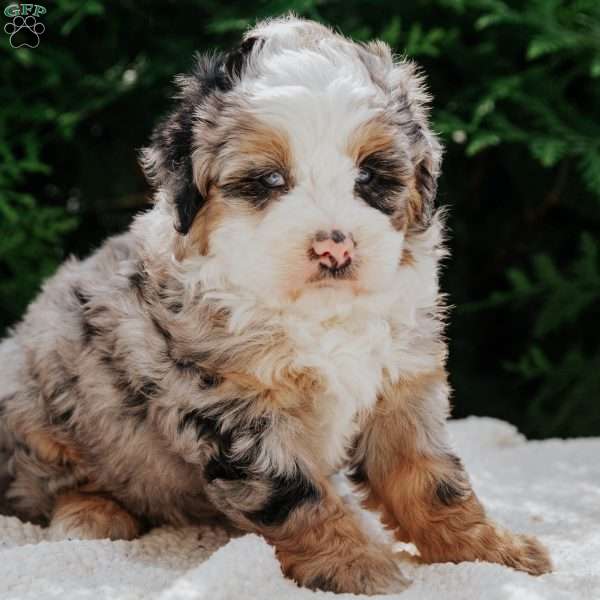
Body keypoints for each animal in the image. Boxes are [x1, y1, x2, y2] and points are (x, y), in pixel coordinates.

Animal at [0, 15, 552, 596]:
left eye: (368, 176)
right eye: (269, 180)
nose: (335, 247)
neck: (320, 317)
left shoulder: (401, 384)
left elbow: (432, 478)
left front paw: (492, 551)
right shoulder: (232, 406)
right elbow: (295, 494)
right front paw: (356, 564)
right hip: (43, 397)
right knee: (49, 484)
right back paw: (92, 514)